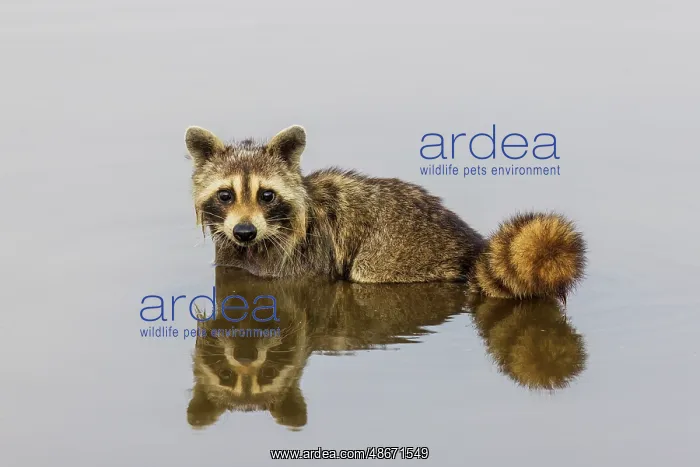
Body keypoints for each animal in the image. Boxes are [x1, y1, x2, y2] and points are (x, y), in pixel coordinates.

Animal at [184, 125, 586, 301]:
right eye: (225, 195)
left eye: (266, 195)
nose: (245, 232)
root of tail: (471, 242)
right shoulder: (231, 255)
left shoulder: (303, 259)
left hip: (400, 251)